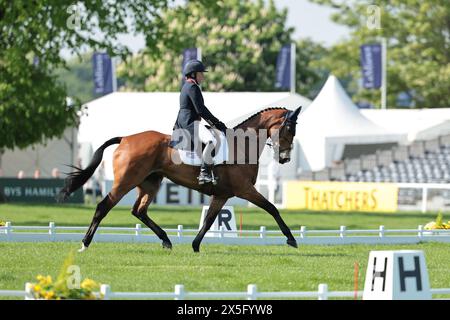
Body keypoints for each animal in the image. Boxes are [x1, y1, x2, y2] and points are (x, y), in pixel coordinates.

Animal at [58, 105, 300, 252]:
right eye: (289, 128)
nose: (286, 159)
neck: (241, 145)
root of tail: (125, 138)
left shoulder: (222, 195)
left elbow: (209, 220)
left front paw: (195, 245)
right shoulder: (245, 190)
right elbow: (272, 208)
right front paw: (291, 239)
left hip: (150, 183)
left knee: (139, 211)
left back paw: (166, 240)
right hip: (126, 182)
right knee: (103, 206)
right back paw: (85, 243)